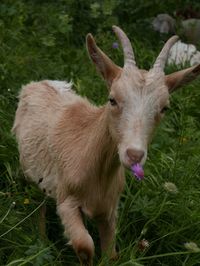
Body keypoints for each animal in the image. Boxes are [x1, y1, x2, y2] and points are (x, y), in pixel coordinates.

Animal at [12, 25, 200, 266]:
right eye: (112, 99)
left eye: (164, 108)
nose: (134, 155)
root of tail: (39, 83)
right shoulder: (66, 199)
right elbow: (85, 246)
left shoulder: (109, 210)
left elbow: (111, 254)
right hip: (31, 174)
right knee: (39, 205)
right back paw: (42, 241)